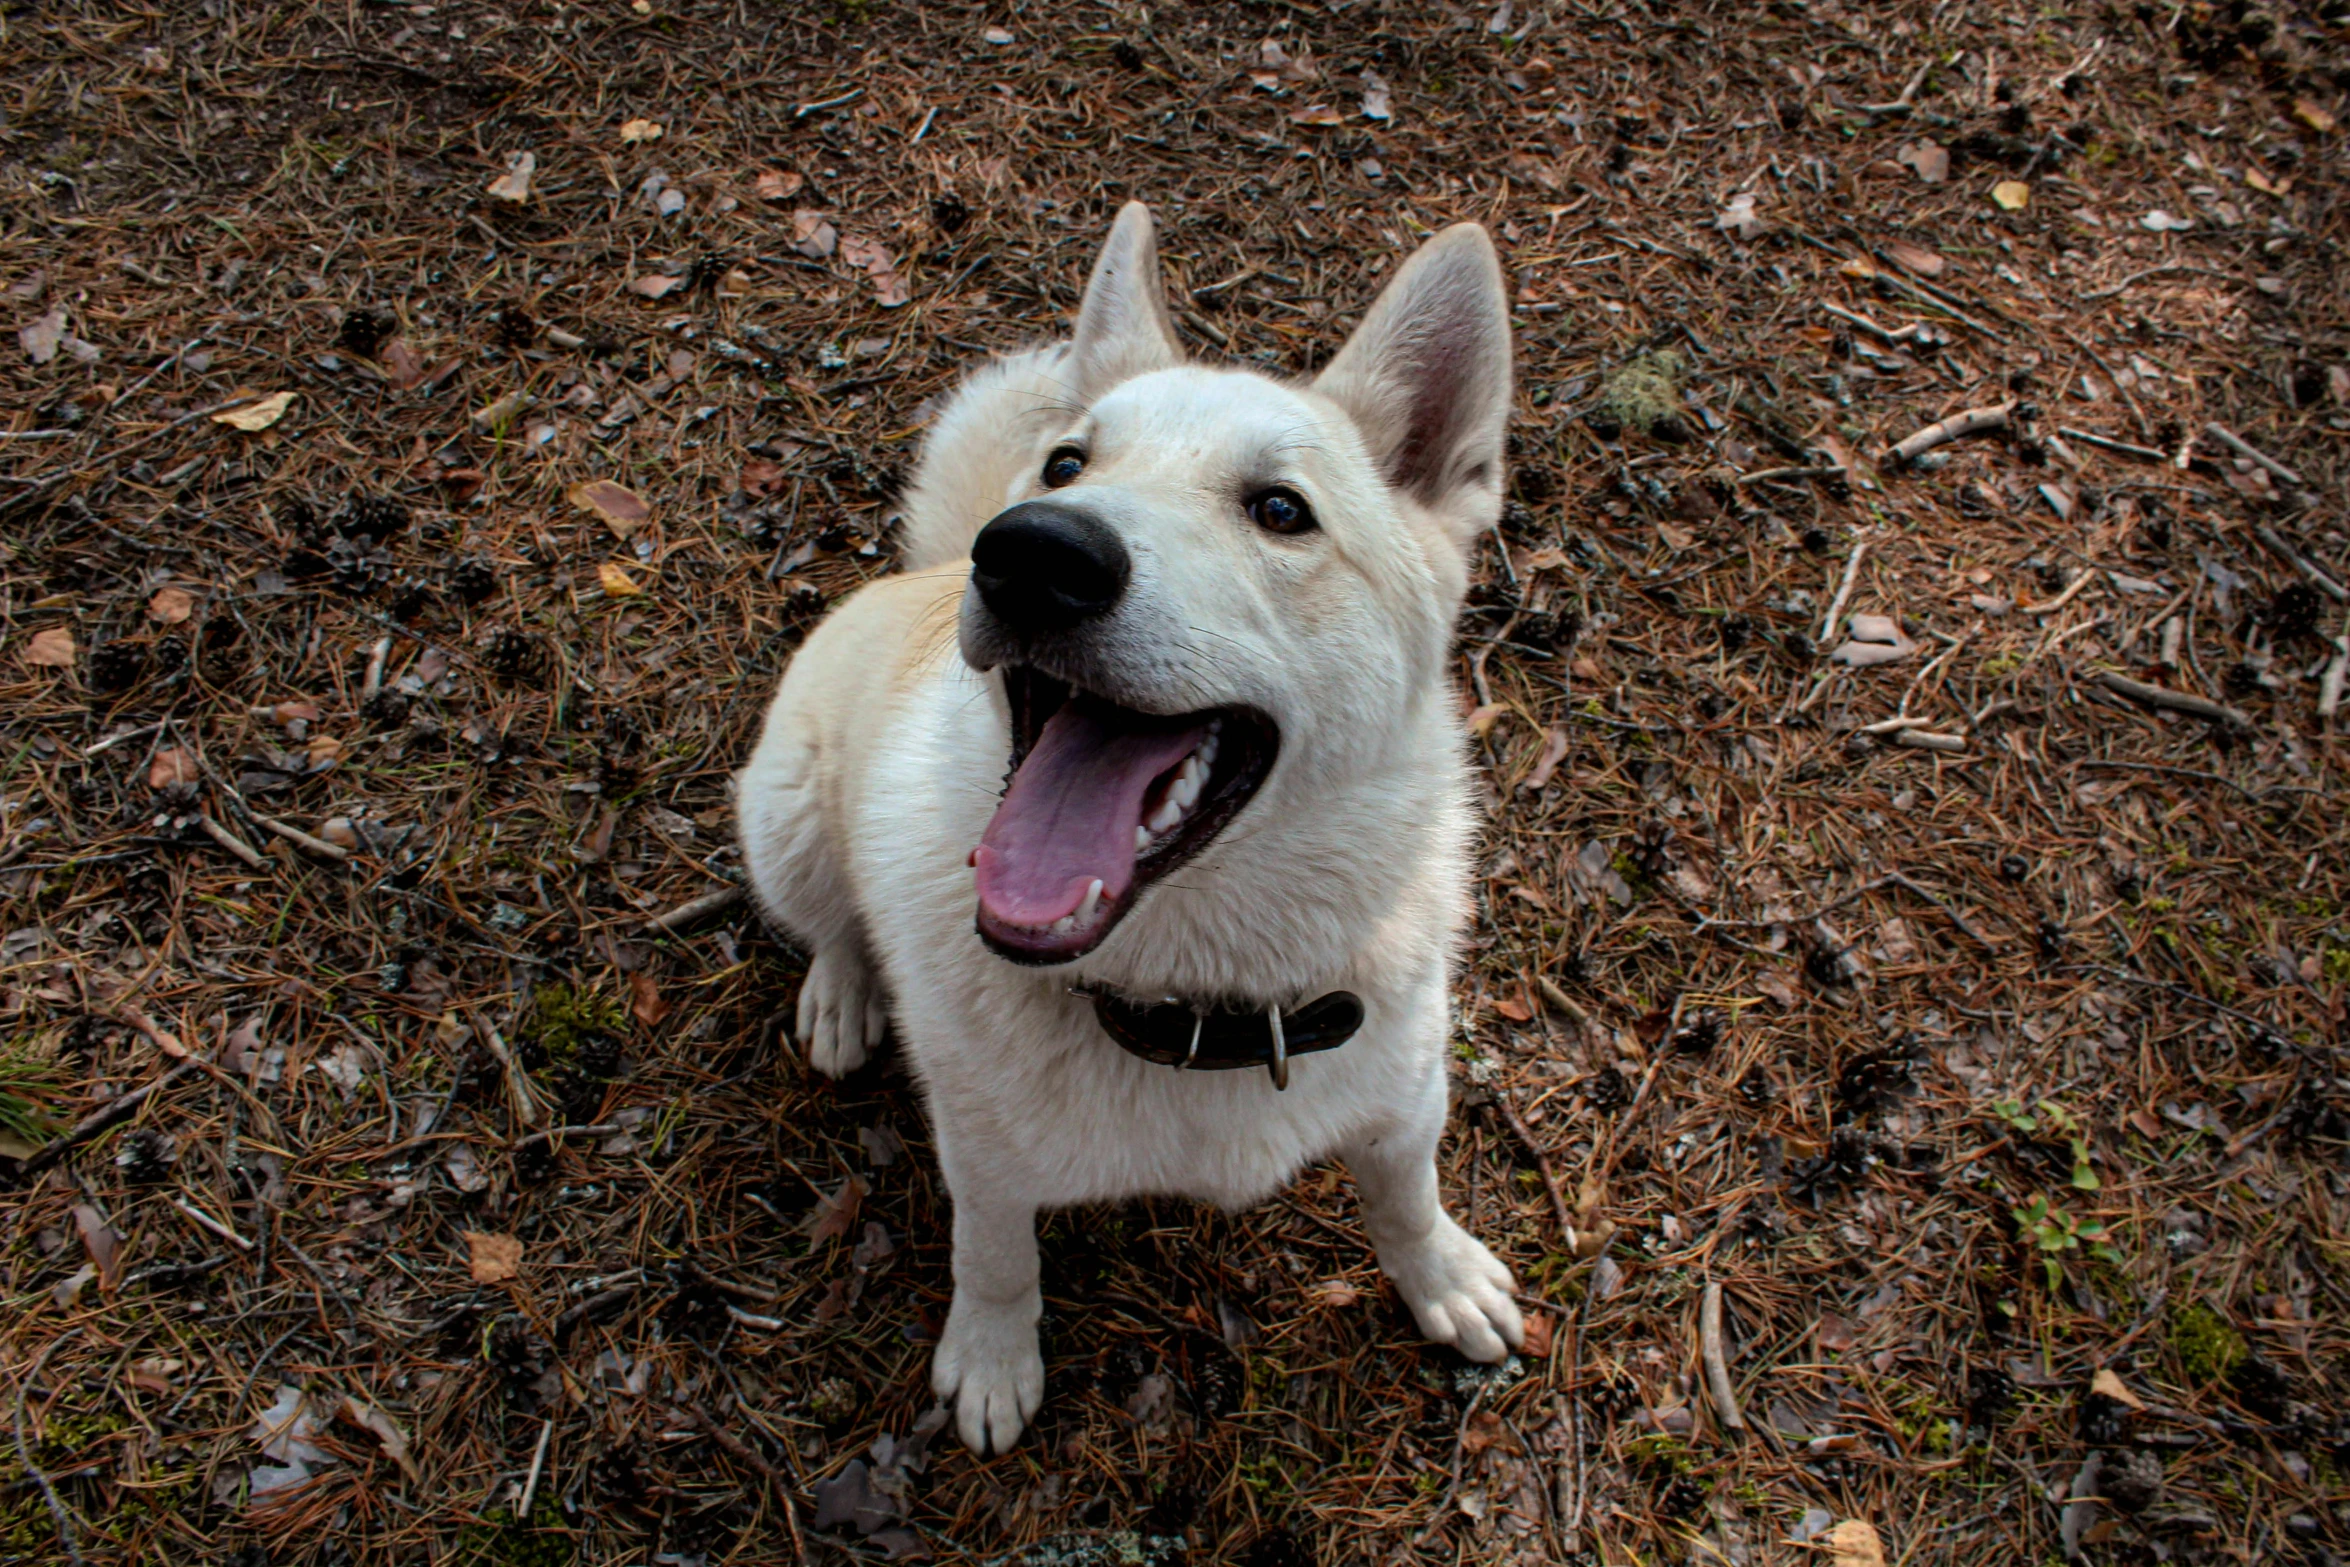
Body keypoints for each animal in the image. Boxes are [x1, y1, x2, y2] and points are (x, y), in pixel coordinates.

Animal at [742, 202, 1532, 1456]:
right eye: (1071, 462)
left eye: (1280, 511)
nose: (1032, 550)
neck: (1200, 1002)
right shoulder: (981, 1154)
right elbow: (994, 1257)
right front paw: (991, 1360)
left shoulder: (1406, 1096)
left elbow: (1407, 1197)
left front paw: (1441, 1278)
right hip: (786, 817)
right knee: (828, 925)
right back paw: (842, 994)